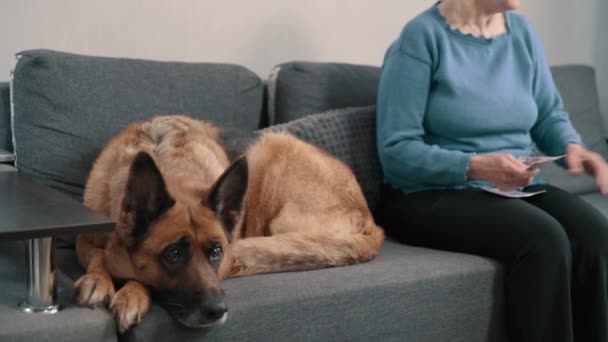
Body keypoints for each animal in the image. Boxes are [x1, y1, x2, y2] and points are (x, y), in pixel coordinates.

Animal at [73, 114, 382, 332]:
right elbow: (97, 256)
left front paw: (132, 293)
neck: (168, 163)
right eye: (173, 254)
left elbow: (136, 274)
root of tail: (372, 224)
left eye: (216, 252)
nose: (217, 311)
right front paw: (98, 279)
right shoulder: (83, 238)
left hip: (273, 150)